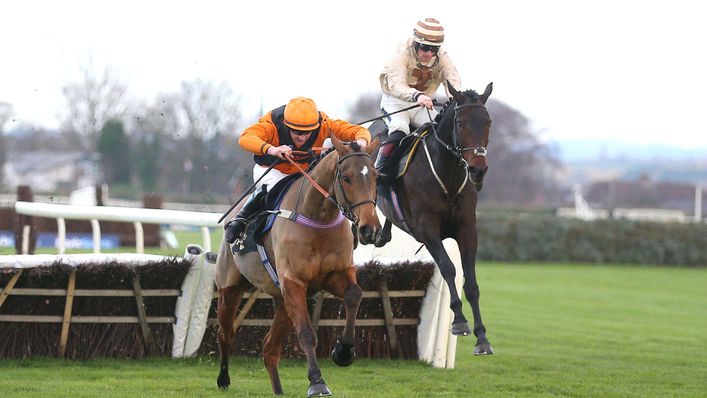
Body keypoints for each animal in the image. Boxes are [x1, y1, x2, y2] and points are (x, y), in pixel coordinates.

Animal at [214, 136, 382, 394]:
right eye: (346, 178)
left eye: (375, 176)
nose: (369, 229)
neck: (317, 218)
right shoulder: (294, 282)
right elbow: (306, 333)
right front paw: (317, 381)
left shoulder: (337, 274)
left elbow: (354, 295)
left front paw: (343, 352)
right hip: (229, 289)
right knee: (225, 333)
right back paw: (223, 379)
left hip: (282, 302)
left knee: (269, 348)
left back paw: (278, 390)